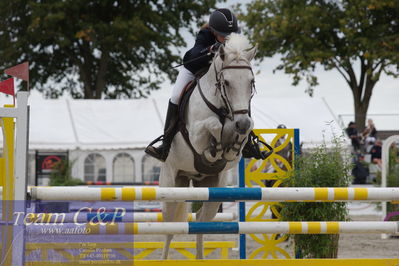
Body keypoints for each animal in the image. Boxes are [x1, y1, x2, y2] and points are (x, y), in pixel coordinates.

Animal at [160, 33, 258, 260]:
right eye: (227, 83)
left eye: (251, 82)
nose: (241, 123)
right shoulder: (196, 134)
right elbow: (213, 126)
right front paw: (214, 149)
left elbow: (237, 142)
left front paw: (230, 146)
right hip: (171, 186)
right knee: (169, 226)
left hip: (212, 189)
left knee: (200, 220)